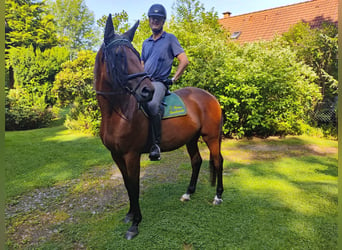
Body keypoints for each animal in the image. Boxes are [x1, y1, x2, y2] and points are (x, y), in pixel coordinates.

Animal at [94, 14, 222, 240]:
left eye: (136, 54)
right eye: (119, 55)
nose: (148, 91)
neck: (118, 113)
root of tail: (210, 96)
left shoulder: (131, 155)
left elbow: (134, 186)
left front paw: (135, 224)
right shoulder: (116, 155)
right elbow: (126, 184)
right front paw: (129, 215)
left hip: (212, 137)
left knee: (218, 161)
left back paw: (218, 197)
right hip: (191, 139)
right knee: (197, 161)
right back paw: (188, 193)